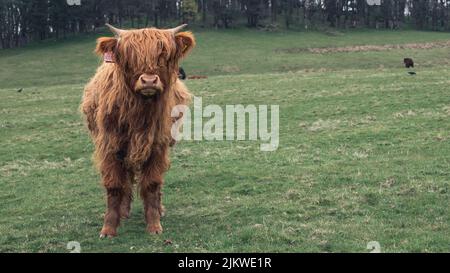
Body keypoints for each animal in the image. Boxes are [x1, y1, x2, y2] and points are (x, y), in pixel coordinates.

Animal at [81, 23, 194, 236]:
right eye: (129, 56)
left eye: (163, 55)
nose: (149, 81)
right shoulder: (110, 146)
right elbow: (115, 186)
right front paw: (108, 228)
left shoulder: (157, 146)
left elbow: (152, 184)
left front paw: (154, 225)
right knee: (126, 178)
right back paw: (124, 211)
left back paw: (159, 209)